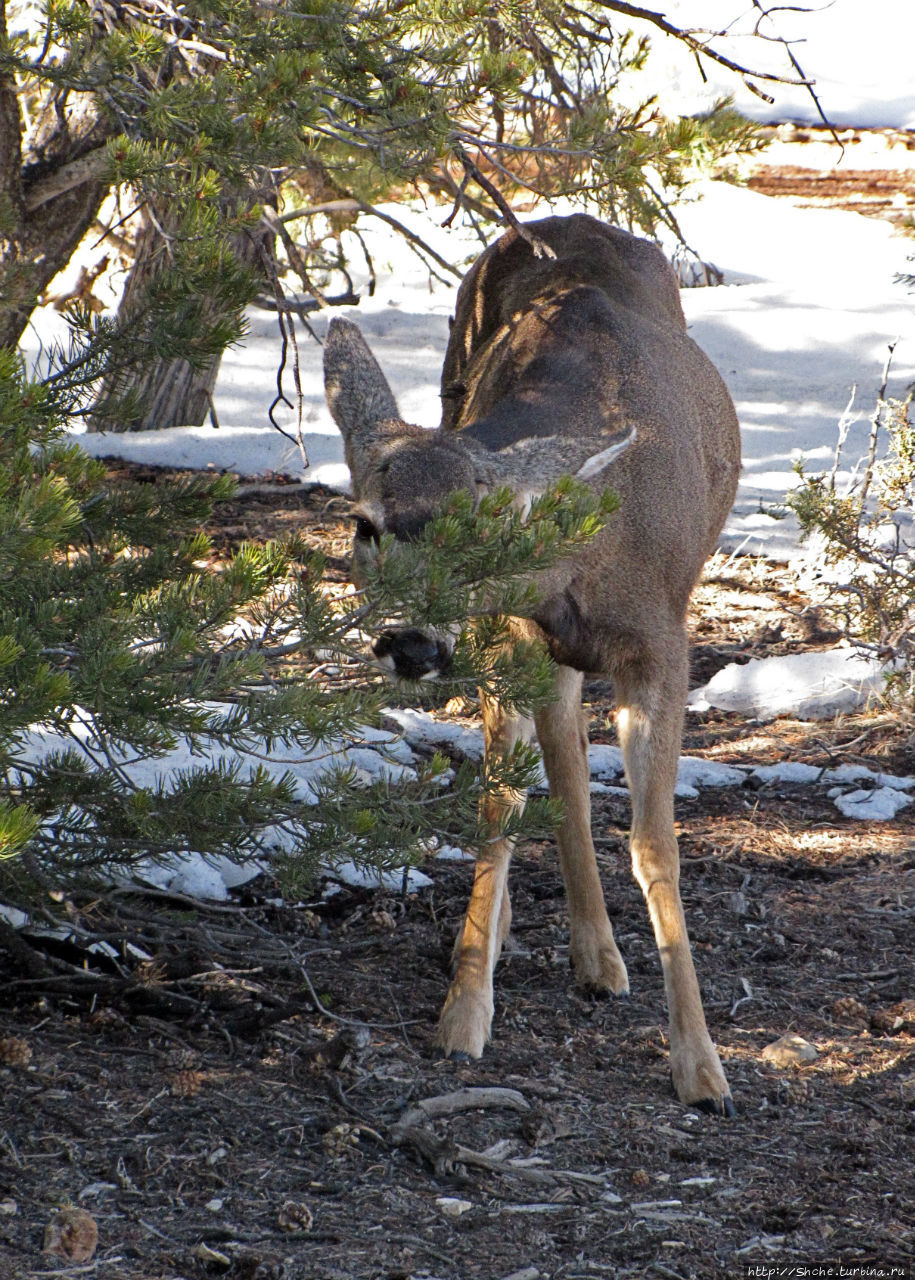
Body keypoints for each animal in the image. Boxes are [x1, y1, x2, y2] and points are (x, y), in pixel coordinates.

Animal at [326, 215, 742, 1116]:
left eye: (484, 531)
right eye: (364, 524)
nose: (411, 643)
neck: (584, 561)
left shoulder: (662, 644)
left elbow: (655, 843)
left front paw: (701, 1070)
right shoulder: (508, 632)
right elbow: (499, 805)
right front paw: (462, 1013)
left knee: (569, 760)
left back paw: (599, 960)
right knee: (558, 764)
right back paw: (563, 947)